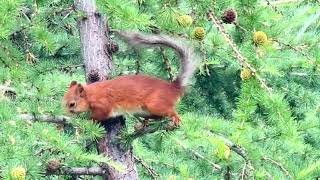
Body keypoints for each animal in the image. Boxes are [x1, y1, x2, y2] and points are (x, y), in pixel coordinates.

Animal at [62, 31, 198, 126]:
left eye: (72, 104)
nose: (63, 114)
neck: (90, 94)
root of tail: (174, 87)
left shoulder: (103, 104)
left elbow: (100, 115)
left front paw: (88, 120)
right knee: (159, 117)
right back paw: (145, 122)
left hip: (156, 104)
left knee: (170, 111)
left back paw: (175, 118)